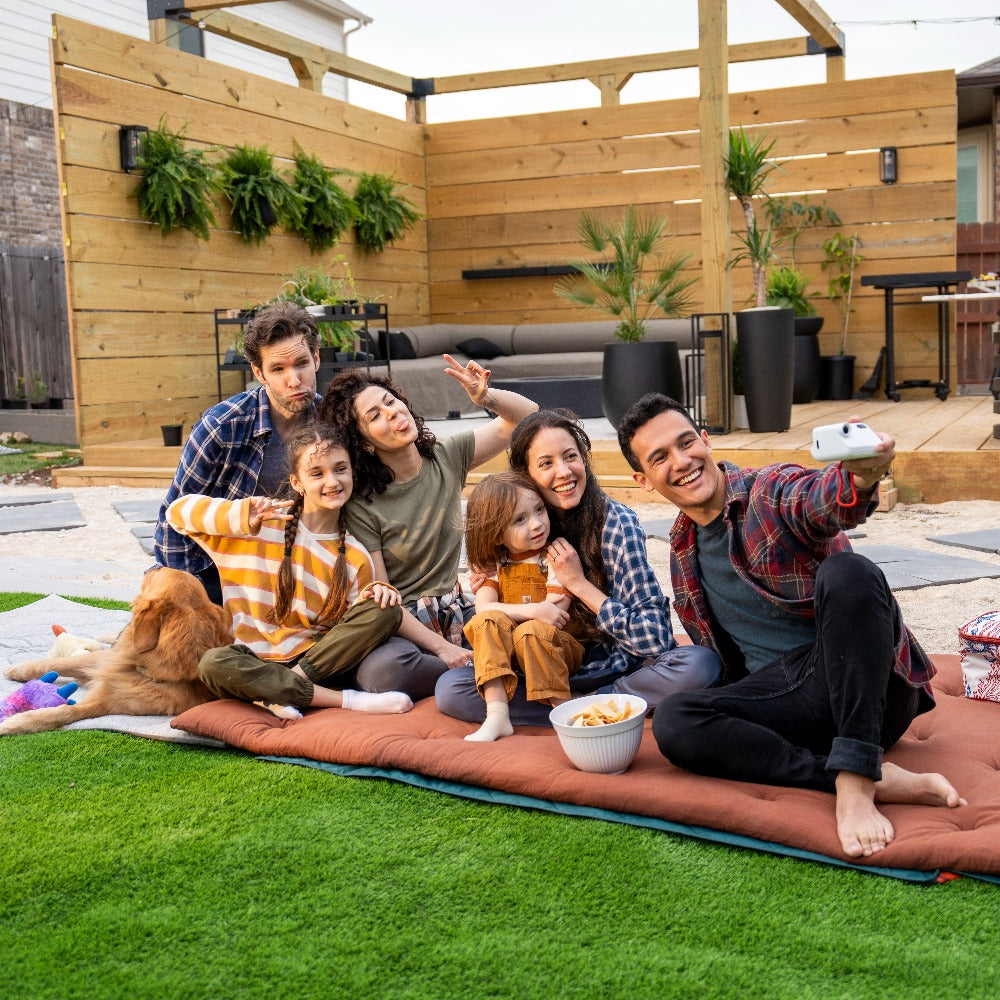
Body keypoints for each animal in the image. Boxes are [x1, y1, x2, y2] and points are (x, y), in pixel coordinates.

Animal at [0, 572, 230, 736]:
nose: (153, 568)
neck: (144, 671)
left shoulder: (114, 702)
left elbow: (64, 712)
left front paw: (16, 723)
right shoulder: (105, 659)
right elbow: (61, 663)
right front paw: (19, 670)